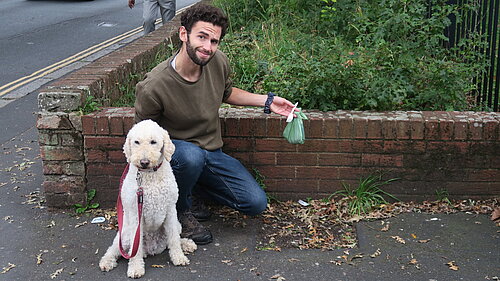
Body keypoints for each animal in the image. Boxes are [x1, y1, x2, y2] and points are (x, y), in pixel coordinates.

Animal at [98, 118, 196, 278]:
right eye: (136, 142)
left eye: (153, 142)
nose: (144, 162)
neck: (150, 175)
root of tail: (152, 248)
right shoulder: (135, 216)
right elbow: (135, 248)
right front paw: (136, 268)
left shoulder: (170, 210)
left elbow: (174, 239)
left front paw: (179, 257)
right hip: (125, 233)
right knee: (115, 249)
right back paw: (107, 262)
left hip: (177, 224)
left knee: (172, 239)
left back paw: (186, 244)